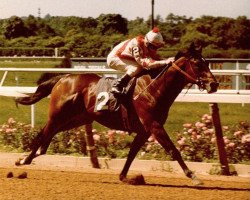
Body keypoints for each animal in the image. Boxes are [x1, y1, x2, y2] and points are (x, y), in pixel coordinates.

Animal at [14, 43, 218, 186]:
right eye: (198, 63)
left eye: (207, 62)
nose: (214, 84)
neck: (153, 88)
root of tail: (63, 78)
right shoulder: (154, 126)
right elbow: (173, 150)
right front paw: (193, 176)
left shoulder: (144, 131)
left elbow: (132, 154)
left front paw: (125, 177)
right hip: (58, 116)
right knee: (42, 134)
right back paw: (24, 160)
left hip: (75, 119)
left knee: (46, 138)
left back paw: (26, 158)